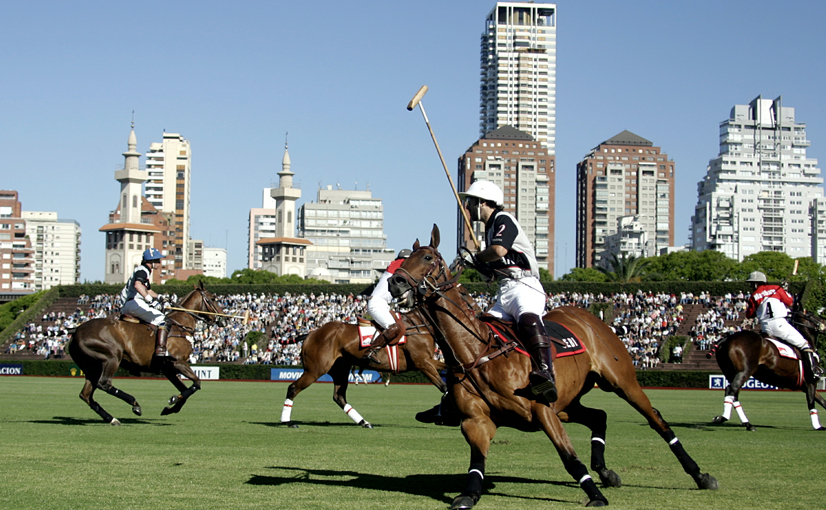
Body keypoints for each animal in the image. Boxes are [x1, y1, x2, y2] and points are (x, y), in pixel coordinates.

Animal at [68, 280, 224, 424]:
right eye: (213, 298)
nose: (222, 319)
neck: (181, 325)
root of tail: (76, 330)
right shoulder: (178, 362)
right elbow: (197, 382)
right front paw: (173, 399)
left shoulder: (168, 368)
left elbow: (184, 391)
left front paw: (169, 408)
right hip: (111, 358)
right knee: (104, 384)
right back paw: (134, 404)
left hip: (92, 367)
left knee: (85, 395)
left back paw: (111, 419)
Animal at [276, 306, 448, 430]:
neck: (418, 325)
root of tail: (311, 333)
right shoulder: (423, 363)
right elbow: (444, 387)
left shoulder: (428, 361)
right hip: (315, 370)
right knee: (293, 388)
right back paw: (287, 422)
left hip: (340, 370)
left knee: (339, 397)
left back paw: (364, 422)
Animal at [388, 227, 716, 510]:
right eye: (403, 259)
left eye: (427, 258)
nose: (395, 282)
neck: (478, 352)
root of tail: (588, 314)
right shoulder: (477, 420)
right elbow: (476, 462)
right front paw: (468, 495)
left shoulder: (542, 410)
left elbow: (569, 457)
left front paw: (595, 496)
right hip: (568, 402)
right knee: (599, 416)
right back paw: (606, 472)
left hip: (621, 383)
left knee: (656, 420)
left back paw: (701, 475)